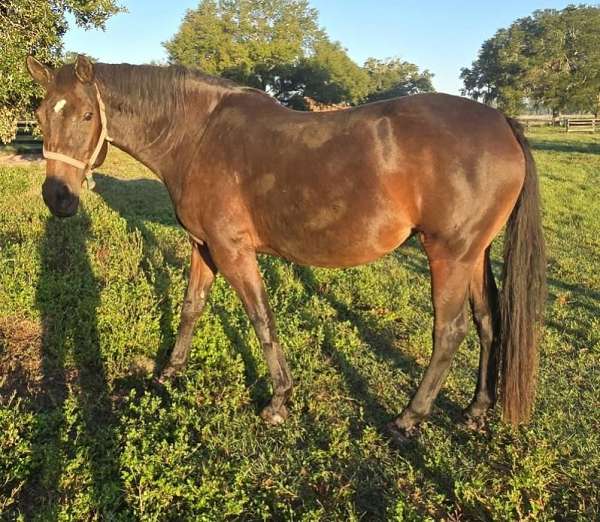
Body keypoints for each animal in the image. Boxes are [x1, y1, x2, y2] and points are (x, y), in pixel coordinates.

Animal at [27, 54, 544, 434]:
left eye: (88, 114)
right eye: (40, 113)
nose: (57, 197)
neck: (198, 136)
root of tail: (502, 121)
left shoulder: (233, 251)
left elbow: (262, 319)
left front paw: (279, 400)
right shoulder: (203, 246)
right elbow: (191, 306)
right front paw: (170, 370)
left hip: (448, 255)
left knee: (449, 332)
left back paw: (409, 417)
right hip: (474, 255)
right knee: (487, 321)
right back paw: (476, 409)